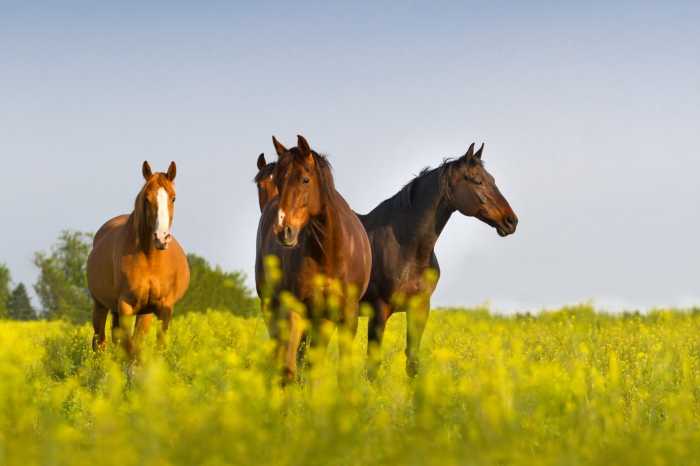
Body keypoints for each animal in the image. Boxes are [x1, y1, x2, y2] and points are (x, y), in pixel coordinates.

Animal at [87, 161, 190, 357]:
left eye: (173, 198)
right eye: (147, 199)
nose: (161, 238)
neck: (150, 260)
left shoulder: (163, 309)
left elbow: (153, 346)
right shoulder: (125, 306)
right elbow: (129, 348)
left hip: (142, 312)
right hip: (100, 306)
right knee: (100, 342)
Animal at [255, 135, 371, 382]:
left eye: (305, 179)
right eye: (279, 181)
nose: (284, 231)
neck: (330, 253)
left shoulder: (347, 315)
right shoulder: (295, 310)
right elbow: (290, 367)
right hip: (272, 305)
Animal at [359, 143, 518, 377]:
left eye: (492, 179)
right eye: (477, 180)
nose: (511, 221)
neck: (405, 248)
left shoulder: (419, 309)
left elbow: (412, 362)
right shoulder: (379, 310)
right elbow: (372, 366)